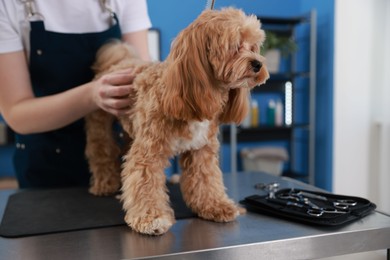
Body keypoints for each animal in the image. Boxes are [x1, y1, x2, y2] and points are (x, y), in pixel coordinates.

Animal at [85, 8, 268, 236]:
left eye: (253, 46)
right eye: (235, 46)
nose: (258, 64)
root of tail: (119, 61)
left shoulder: (201, 150)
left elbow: (206, 179)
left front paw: (215, 206)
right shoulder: (148, 152)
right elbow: (144, 182)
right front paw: (151, 218)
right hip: (99, 121)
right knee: (101, 151)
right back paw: (105, 184)